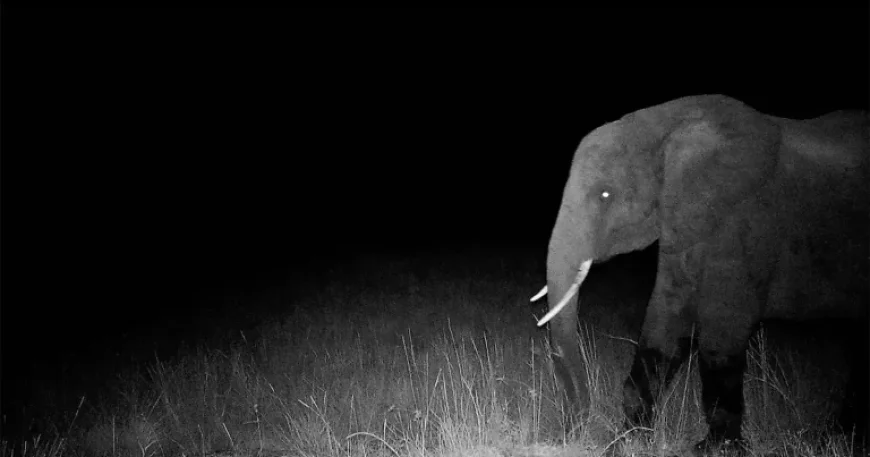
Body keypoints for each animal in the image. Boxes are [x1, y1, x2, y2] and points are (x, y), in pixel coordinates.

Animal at [530, 95, 868, 452]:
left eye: (605, 195)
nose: (570, 432)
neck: (666, 125)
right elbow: (665, 321)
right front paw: (627, 441)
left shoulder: (744, 223)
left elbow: (722, 332)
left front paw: (716, 449)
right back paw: (840, 438)